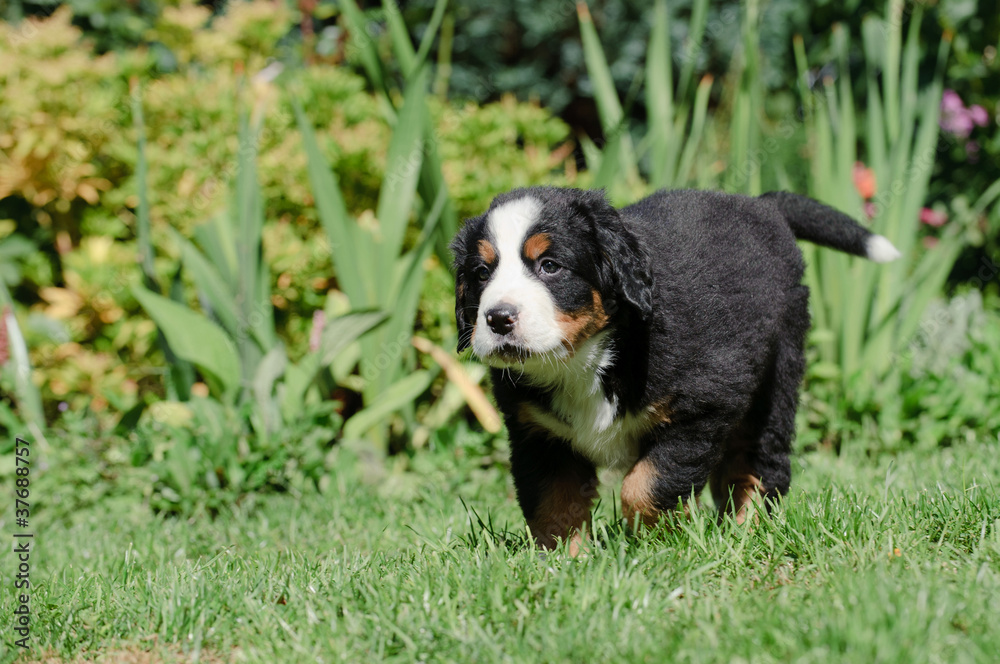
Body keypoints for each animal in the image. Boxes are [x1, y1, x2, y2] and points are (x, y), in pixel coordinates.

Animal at [452, 188, 900, 556]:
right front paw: (562, 563)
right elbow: (552, 502)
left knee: (759, 465)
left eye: (549, 266)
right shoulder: (537, 433)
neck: (585, 360)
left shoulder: (703, 403)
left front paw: (658, 542)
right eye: (481, 273)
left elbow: (647, 485)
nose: (498, 318)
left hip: (775, 374)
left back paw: (746, 534)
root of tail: (761, 204)